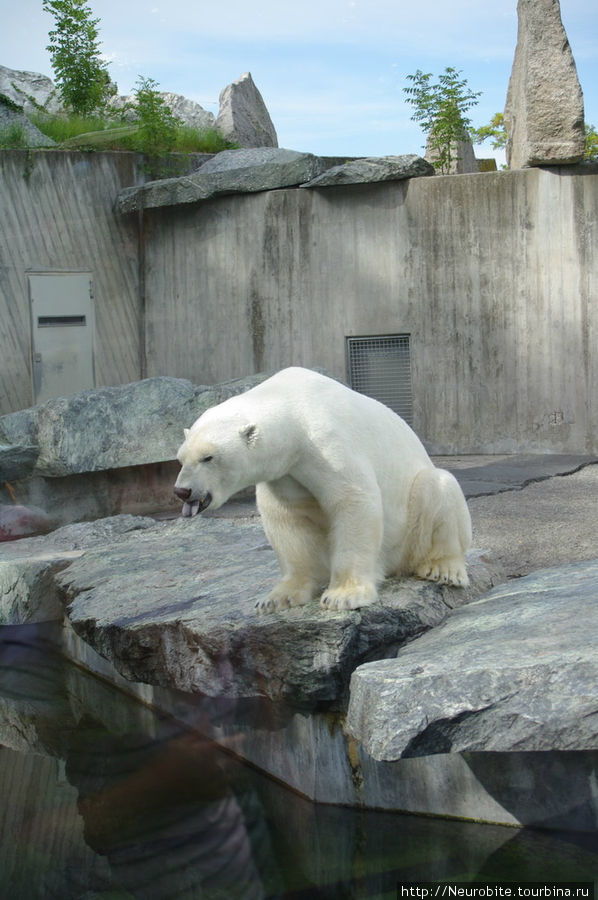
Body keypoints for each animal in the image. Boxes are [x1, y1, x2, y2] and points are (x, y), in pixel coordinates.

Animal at [173, 366, 474, 612]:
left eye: (208, 457)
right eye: (180, 458)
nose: (182, 491)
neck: (292, 409)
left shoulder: (325, 442)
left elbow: (352, 500)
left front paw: (343, 595)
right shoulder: (285, 472)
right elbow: (288, 518)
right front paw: (277, 598)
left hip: (408, 534)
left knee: (438, 487)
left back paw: (443, 568)